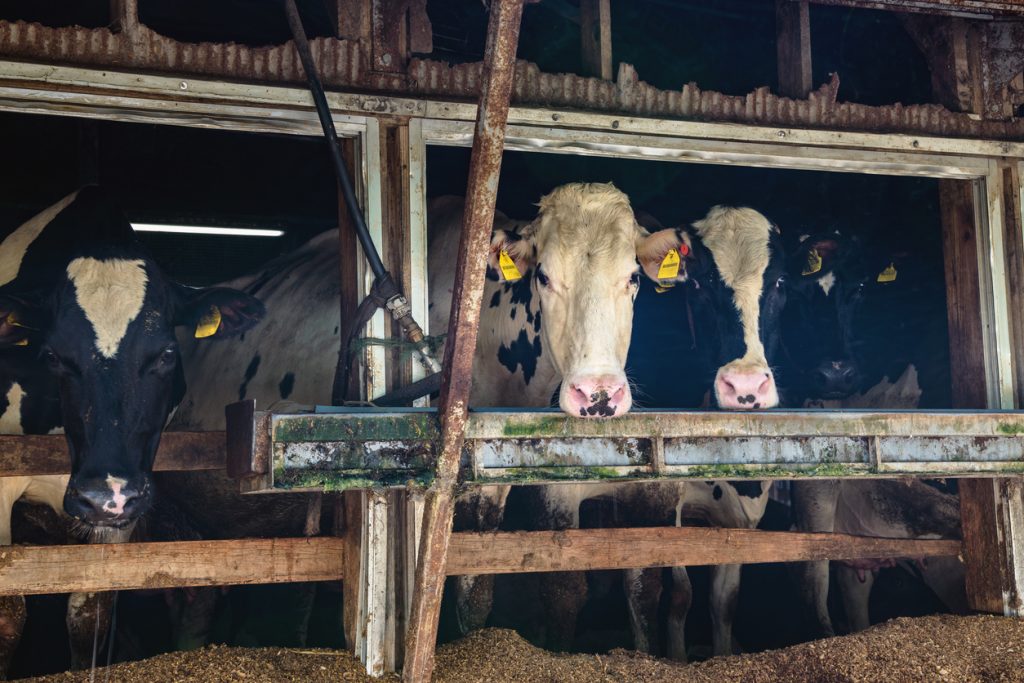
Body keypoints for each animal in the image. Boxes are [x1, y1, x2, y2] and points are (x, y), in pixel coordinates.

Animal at [0, 188, 264, 671]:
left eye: (166, 354)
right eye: (52, 355)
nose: (104, 494)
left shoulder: (121, 509)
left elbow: (92, 610)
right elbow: (10, 608)